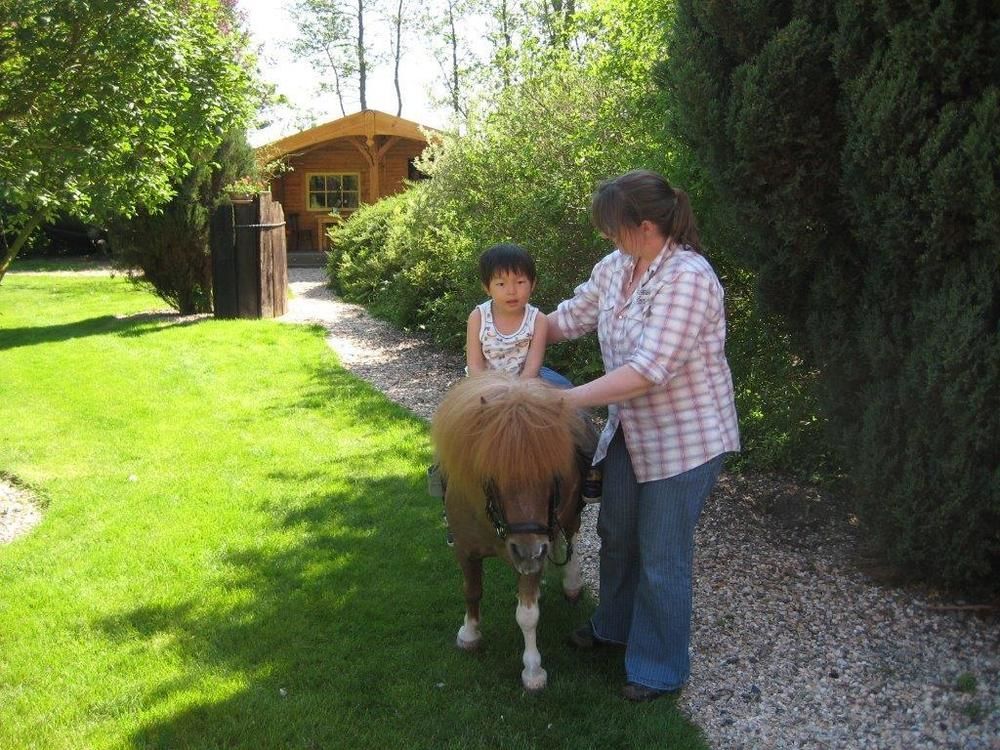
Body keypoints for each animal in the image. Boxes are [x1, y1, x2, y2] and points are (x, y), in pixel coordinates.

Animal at [430, 372, 592, 692]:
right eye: (492, 476)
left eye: (555, 475)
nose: (529, 551)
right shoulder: (465, 550)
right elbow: (471, 591)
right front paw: (469, 634)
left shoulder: (535, 552)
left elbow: (527, 616)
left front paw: (533, 669)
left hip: (568, 519)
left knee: (571, 540)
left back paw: (571, 583)